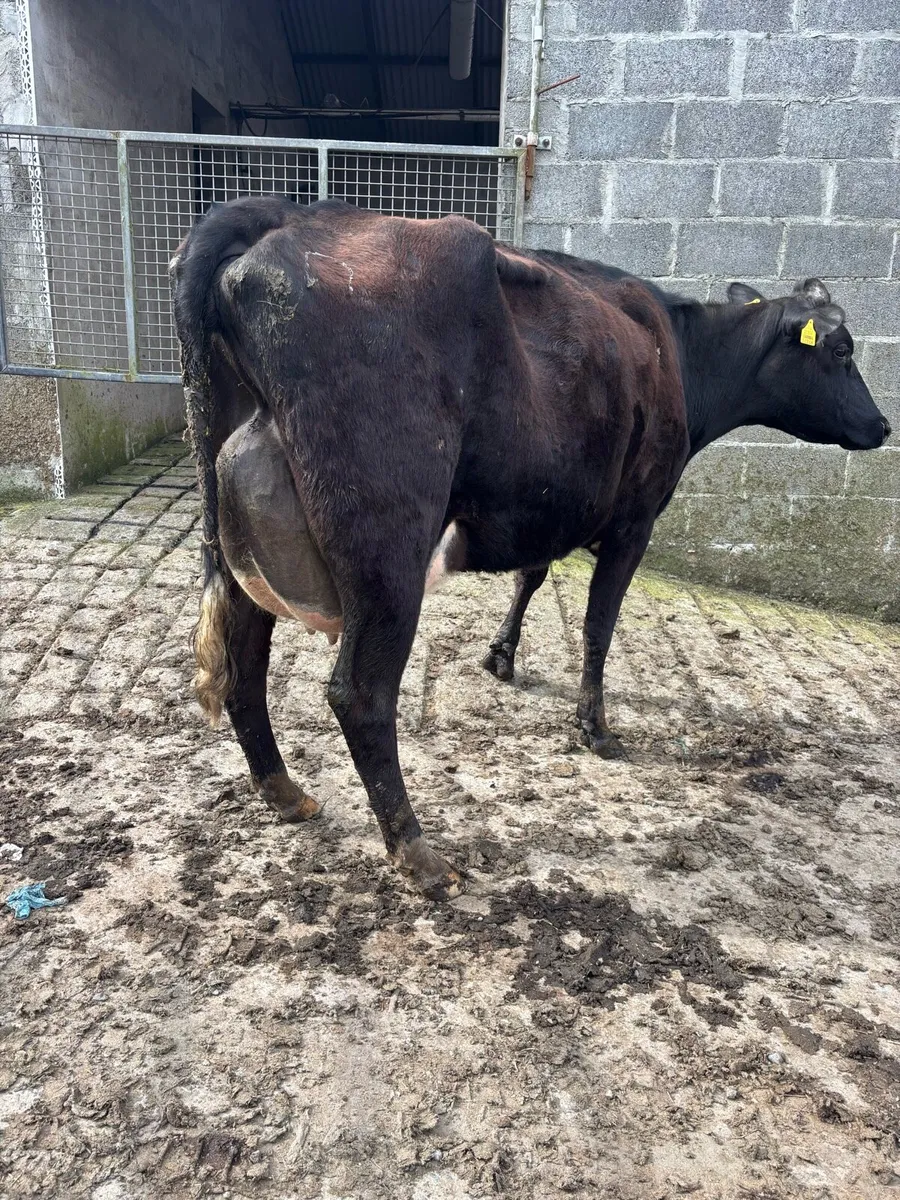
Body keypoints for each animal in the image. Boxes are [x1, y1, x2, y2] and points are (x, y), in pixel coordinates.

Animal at [171, 197, 890, 902]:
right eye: (841, 350)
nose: (882, 425)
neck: (681, 353)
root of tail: (286, 212)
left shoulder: (555, 503)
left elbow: (532, 577)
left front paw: (502, 656)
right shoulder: (635, 519)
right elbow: (600, 624)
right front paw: (595, 727)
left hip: (240, 539)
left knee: (243, 662)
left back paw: (284, 792)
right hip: (387, 542)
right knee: (361, 694)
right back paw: (420, 855)